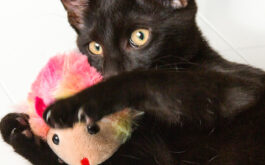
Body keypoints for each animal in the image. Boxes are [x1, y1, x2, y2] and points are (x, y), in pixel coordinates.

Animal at [0, 0, 264, 164]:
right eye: (95, 47)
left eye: (140, 36)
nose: (111, 73)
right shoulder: (149, 157)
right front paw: (17, 130)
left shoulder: (240, 89)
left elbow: (153, 78)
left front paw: (74, 105)